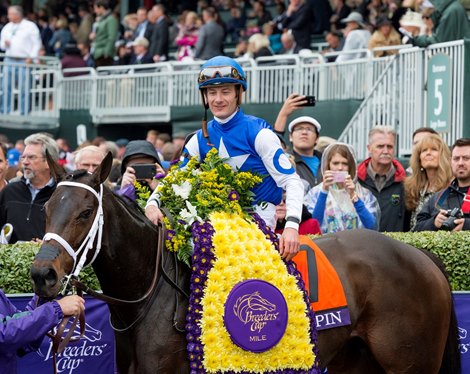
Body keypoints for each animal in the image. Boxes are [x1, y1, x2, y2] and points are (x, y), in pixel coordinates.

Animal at [31, 153, 460, 374]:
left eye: (85, 212)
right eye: (47, 208)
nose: (41, 274)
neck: (154, 298)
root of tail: (420, 255)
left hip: (411, 364)